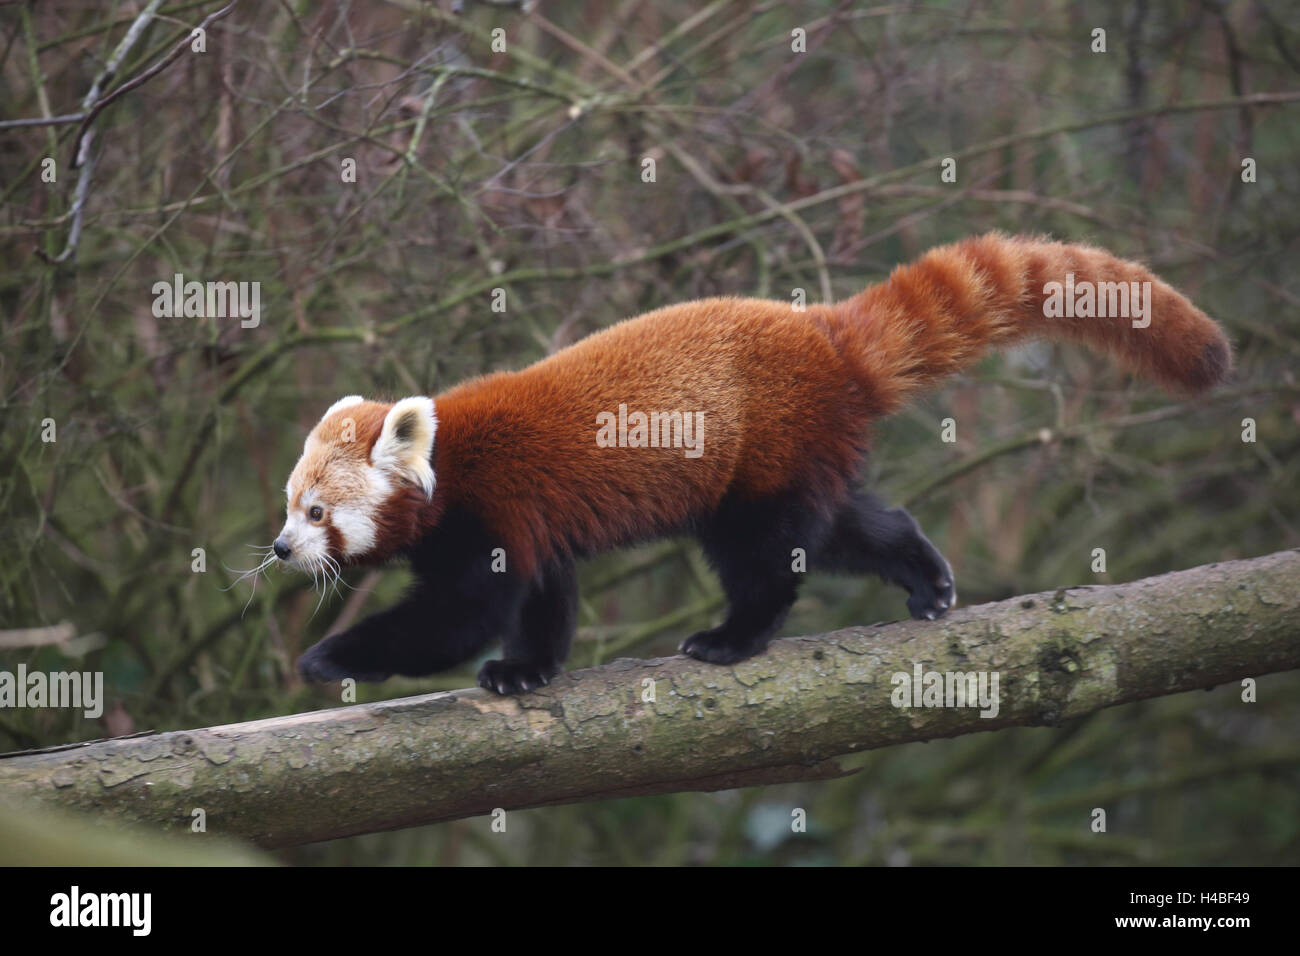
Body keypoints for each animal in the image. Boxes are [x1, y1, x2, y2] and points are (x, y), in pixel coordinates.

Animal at [276, 234, 1227, 697]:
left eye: (316, 511)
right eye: (289, 505)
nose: (281, 551)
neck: (447, 468)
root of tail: (824, 334)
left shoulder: (492, 510)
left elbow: (460, 614)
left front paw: (330, 658)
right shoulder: (534, 523)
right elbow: (543, 598)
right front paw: (529, 670)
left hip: (761, 450)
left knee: (769, 555)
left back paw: (733, 636)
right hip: (804, 449)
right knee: (849, 527)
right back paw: (925, 576)